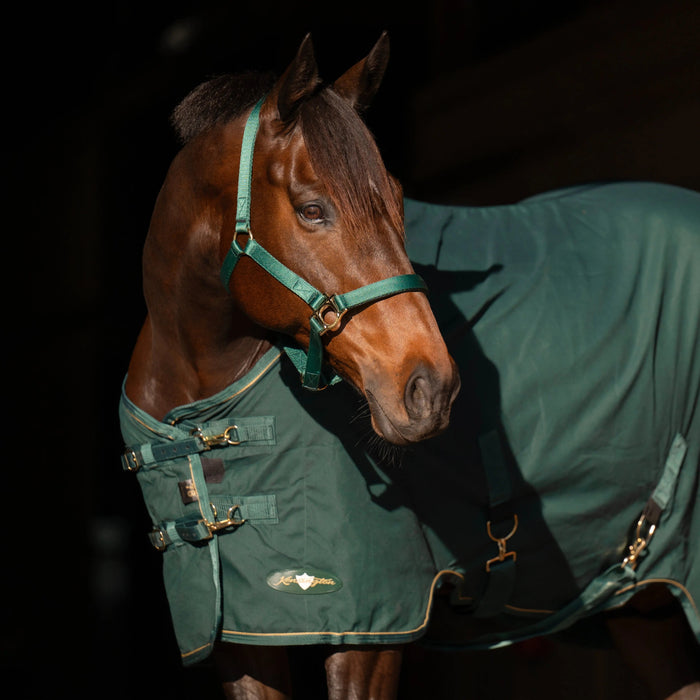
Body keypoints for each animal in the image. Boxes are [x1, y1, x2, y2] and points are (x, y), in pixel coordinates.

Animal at [119, 34, 700, 699]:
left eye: (396, 198)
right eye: (311, 209)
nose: (432, 388)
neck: (198, 411)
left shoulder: (372, 626)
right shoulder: (243, 634)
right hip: (643, 610)